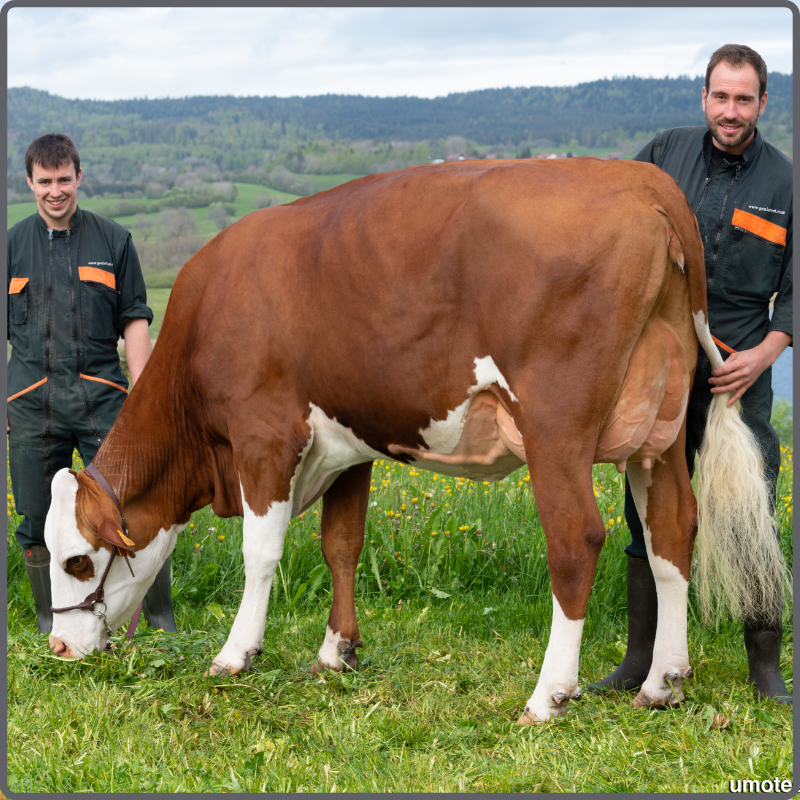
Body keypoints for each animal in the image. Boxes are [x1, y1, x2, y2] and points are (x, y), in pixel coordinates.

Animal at [40, 159, 784, 720]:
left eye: (77, 561)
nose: (58, 649)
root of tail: (642, 180)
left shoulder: (264, 438)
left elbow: (261, 552)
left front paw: (236, 653)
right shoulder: (347, 445)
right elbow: (341, 545)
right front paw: (335, 654)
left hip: (556, 429)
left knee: (577, 541)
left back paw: (547, 695)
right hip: (659, 434)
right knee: (670, 533)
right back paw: (663, 682)